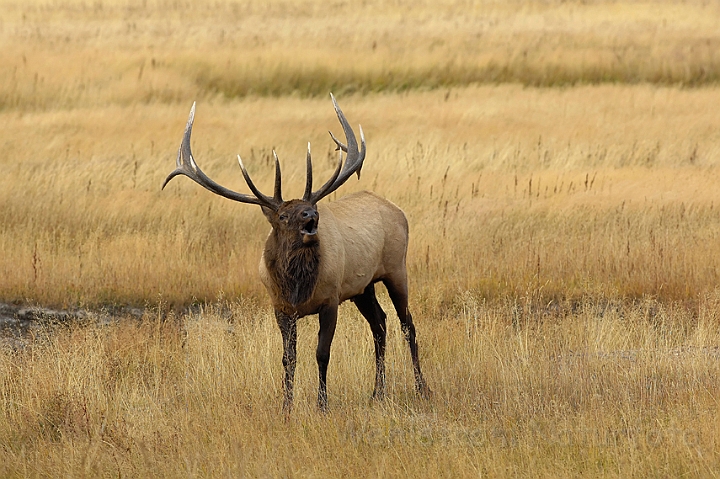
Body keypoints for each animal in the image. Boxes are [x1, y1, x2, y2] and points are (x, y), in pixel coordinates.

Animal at [163, 94, 430, 412]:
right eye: (282, 216)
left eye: (309, 207)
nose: (310, 215)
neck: (297, 287)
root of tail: (399, 211)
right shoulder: (281, 308)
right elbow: (288, 358)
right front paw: (286, 406)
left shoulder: (330, 299)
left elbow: (322, 353)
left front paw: (321, 405)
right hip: (362, 288)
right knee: (380, 324)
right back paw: (377, 392)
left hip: (396, 269)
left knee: (407, 324)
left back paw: (422, 388)